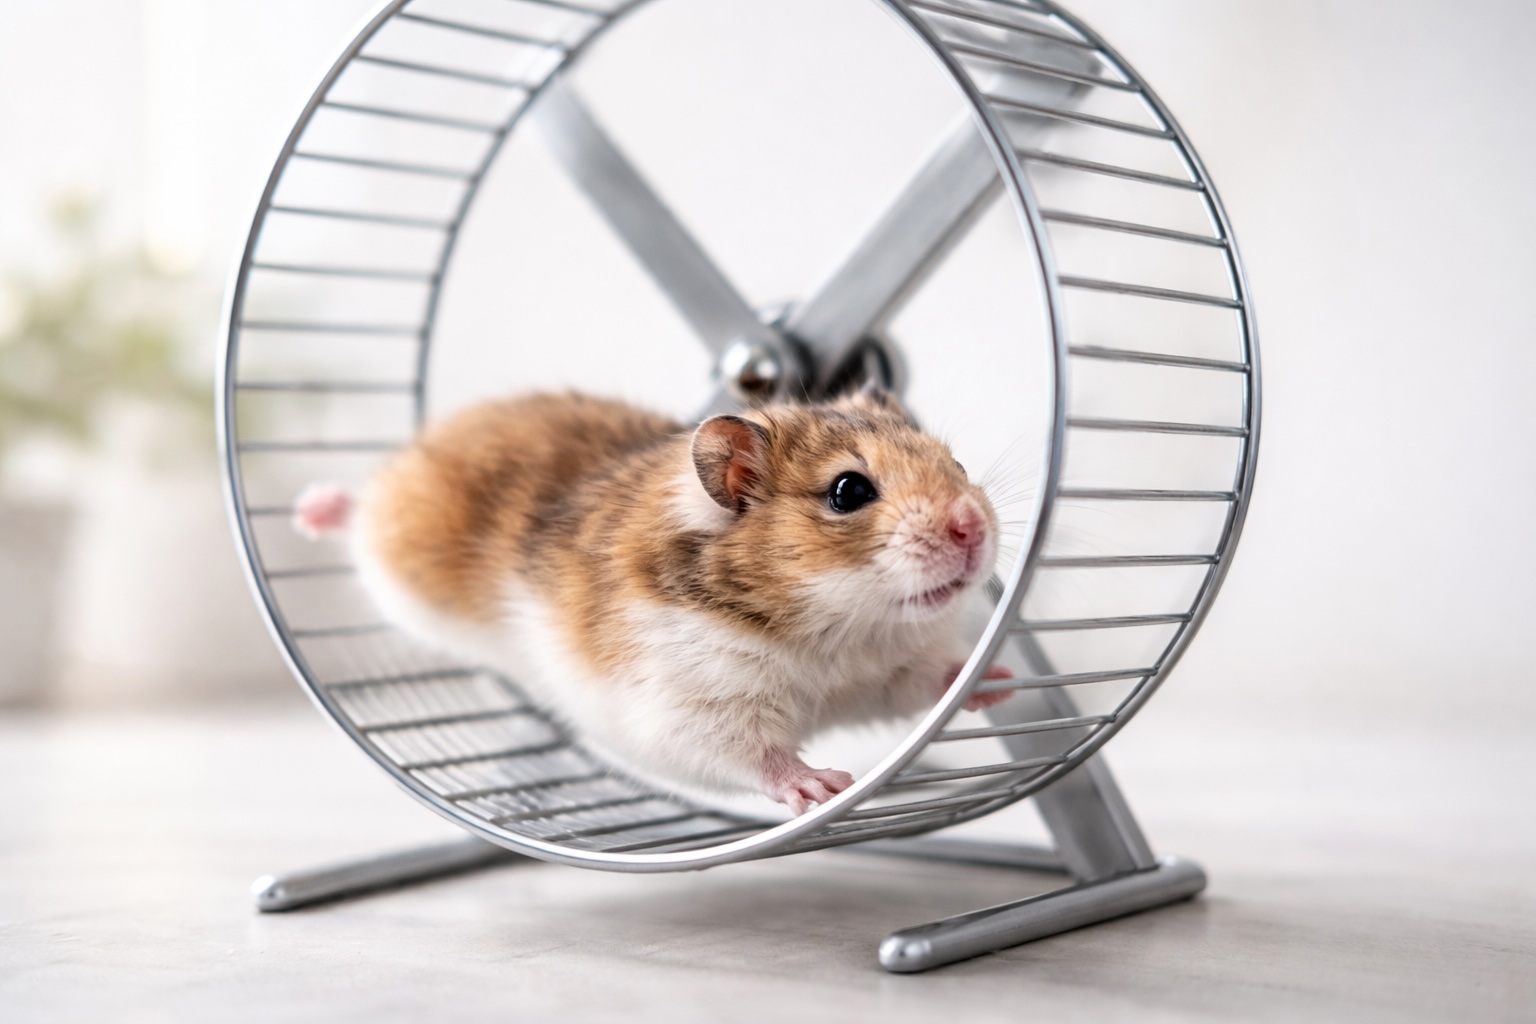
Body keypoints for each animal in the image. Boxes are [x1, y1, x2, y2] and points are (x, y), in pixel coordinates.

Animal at [293, 388, 1010, 814]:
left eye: (955, 462)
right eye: (848, 492)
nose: (973, 527)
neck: (834, 625)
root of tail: (429, 436)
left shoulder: (885, 674)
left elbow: (931, 678)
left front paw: (999, 680)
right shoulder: (692, 710)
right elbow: (759, 756)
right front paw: (826, 786)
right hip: (393, 559)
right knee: (356, 510)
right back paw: (312, 508)